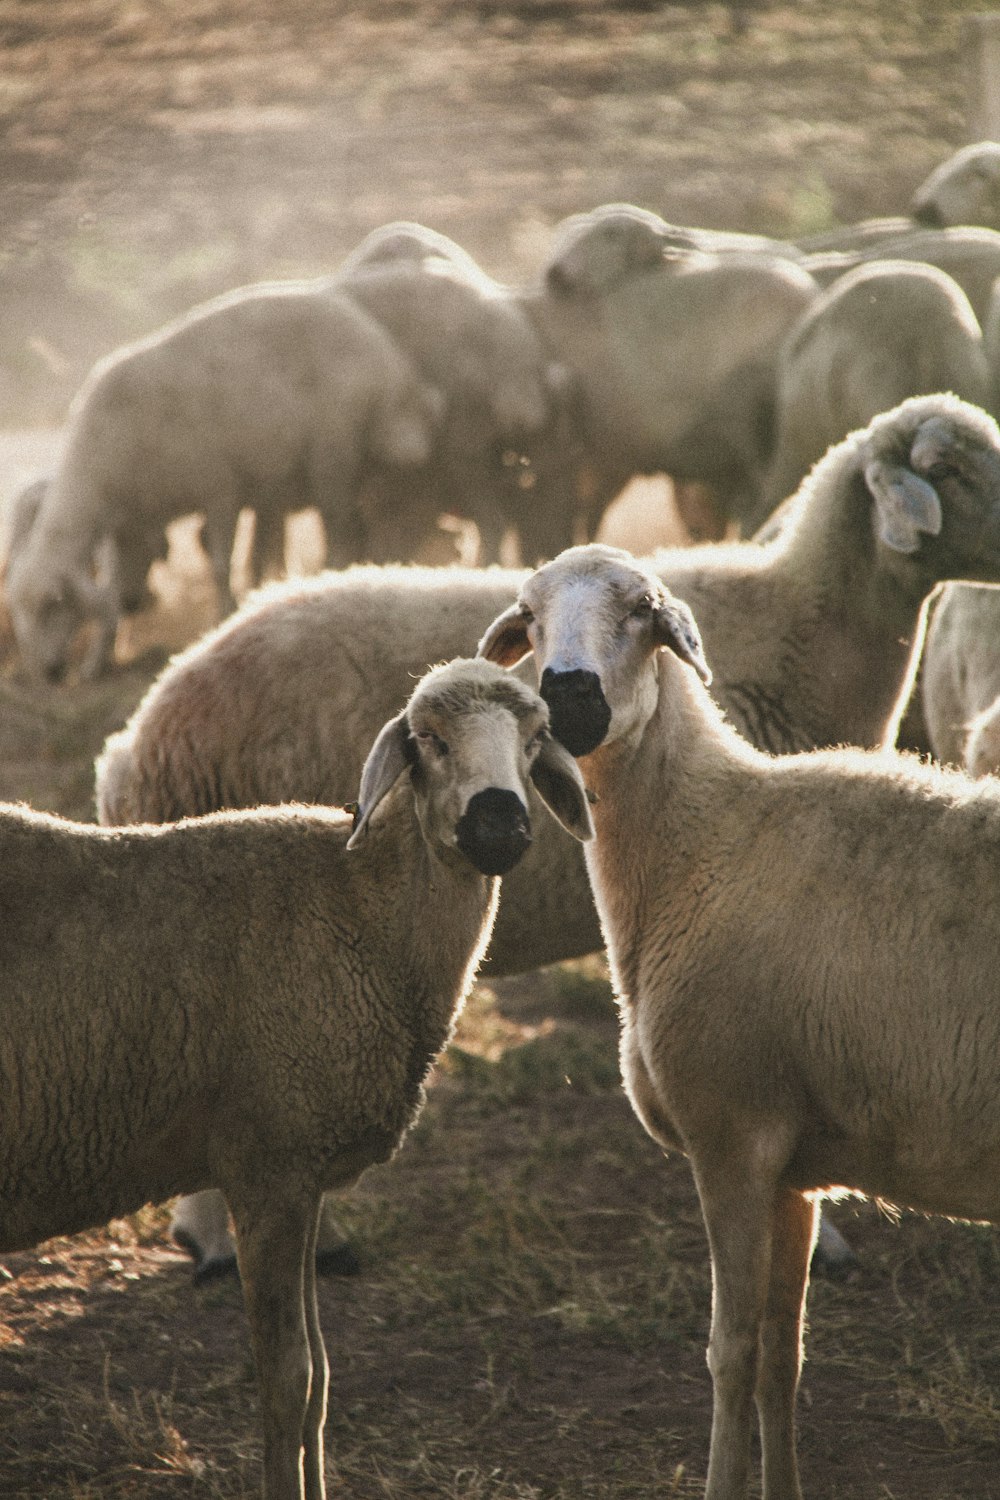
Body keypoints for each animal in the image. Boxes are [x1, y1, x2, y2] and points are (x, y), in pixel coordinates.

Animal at [0, 663, 593, 1500]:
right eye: (428, 740)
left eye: (537, 738)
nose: (499, 824)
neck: (360, 905)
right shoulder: (268, 1166)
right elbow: (287, 1381)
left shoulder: (305, 1174)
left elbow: (319, 1379)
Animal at [3, 279, 440, 684]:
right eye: (19, 611)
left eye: (53, 604)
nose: (49, 673)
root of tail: (383, 348)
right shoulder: (129, 524)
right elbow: (113, 588)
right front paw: (98, 660)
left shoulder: (219, 489)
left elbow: (218, 564)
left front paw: (224, 617)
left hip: (334, 452)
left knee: (344, 532)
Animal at [476, 540, 1000, 1500]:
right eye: (528, 617)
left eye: (642, 609)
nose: (570, 696)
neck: (704, 838)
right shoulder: (794, 1168)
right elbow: (783, 1360)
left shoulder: (731, 1135)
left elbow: (731, 1354)